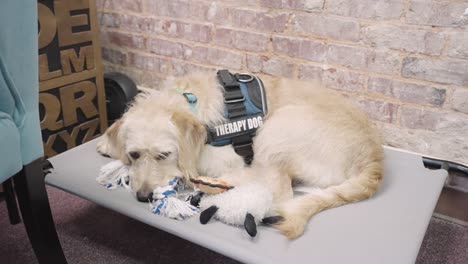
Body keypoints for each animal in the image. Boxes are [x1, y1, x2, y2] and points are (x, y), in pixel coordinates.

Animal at [96, 71, 384, 239]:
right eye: (134, 154)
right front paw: (106, 143)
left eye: (164, 155)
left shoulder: (219, 157)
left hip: (276, 127)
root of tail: (374, 156)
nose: (143, 196)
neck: (189, 102)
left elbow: (193, 168)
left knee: (277, 190)